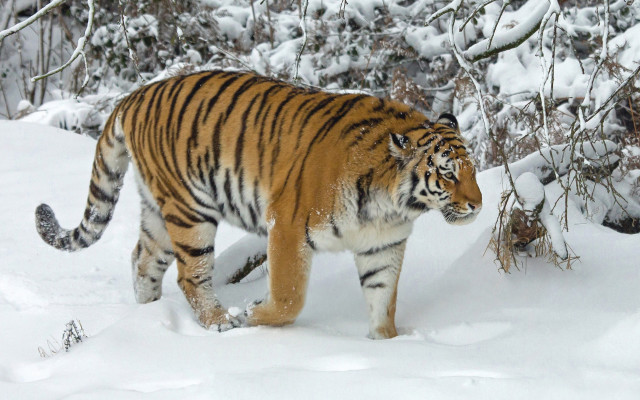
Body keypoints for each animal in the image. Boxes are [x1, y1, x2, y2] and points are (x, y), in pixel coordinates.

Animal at [35, 69, 482, 339]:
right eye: (447, 174)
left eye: (473, 171)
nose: (478, 205)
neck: (391, 204)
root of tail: (135, 95)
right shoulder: (288, 225)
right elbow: (289, 297)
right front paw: (251, 316)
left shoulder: (383, 245)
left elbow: (383, 299)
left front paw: (385, 343)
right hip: (190, 209)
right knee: (190, 275)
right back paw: (219, 322)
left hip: (159, 212)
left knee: (143, 260)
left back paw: (149, 314)